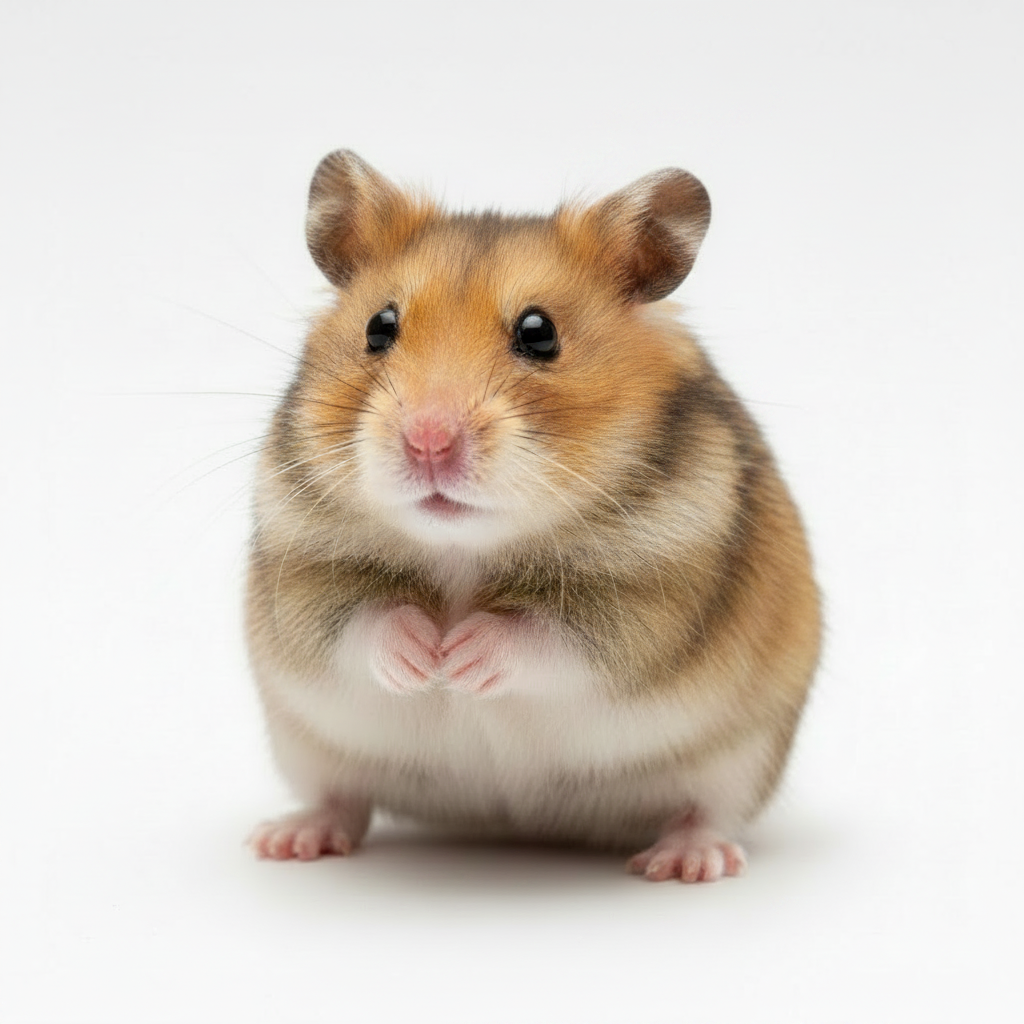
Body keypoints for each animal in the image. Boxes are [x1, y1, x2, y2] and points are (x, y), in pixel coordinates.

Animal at [246, 150, 821, 883]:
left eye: (539, 333)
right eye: (380, 326)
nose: (428, 441)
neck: (464, 546)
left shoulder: (646, 605)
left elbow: (545, 636)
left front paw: (459, 657)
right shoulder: (303, 578)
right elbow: (364, 621)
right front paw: (426, 656)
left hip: (742, 760)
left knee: (706, 810)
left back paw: (687, 862)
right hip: (306, 747)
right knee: (340, 799)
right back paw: (286, 840)